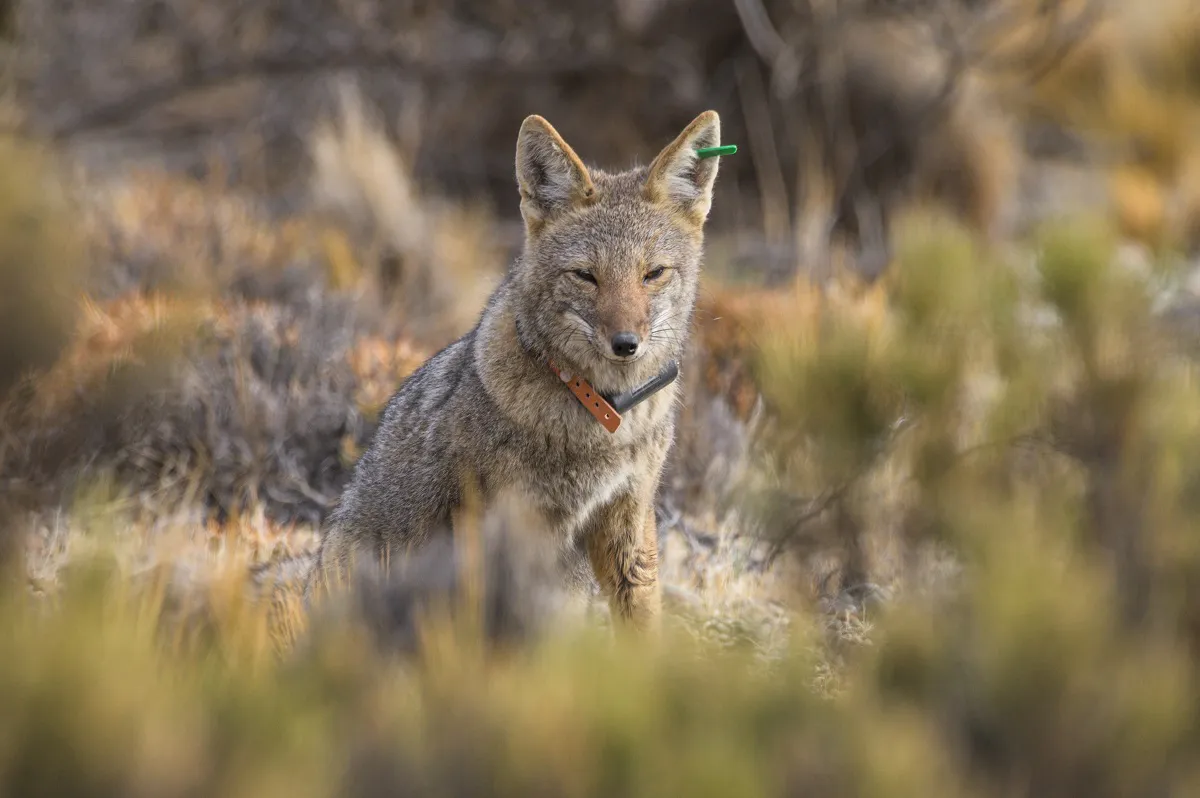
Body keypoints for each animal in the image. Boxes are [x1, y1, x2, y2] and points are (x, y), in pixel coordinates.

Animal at [304, 110, 724, 634]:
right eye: (586, 276)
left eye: (653, 274)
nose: (626, 344)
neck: (601, 416)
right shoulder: (503, 526)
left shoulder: (629, 517)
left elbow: (641, 621)